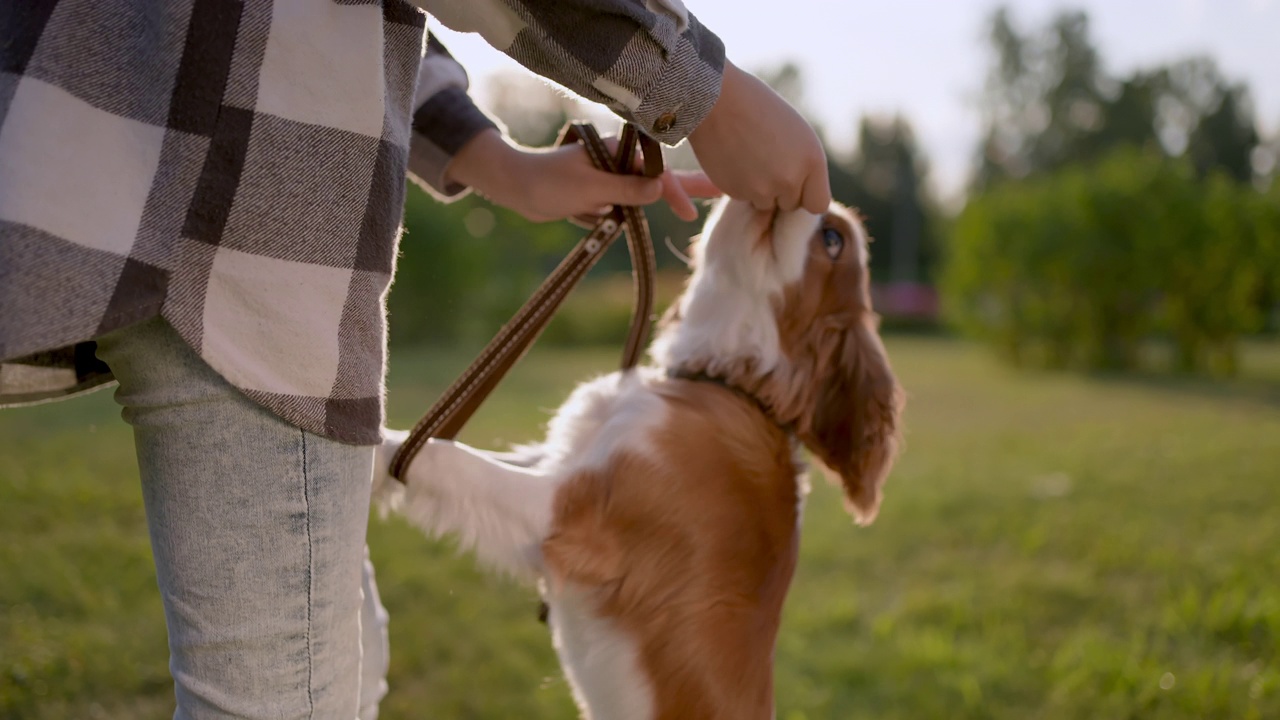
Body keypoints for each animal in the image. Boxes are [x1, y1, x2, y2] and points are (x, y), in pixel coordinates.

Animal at [373, 196, 906, 717]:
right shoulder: (562, 461)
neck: (725, 382)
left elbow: (443, 458)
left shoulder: (574, 514)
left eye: (833, 239)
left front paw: (373, 454)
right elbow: (458, 449)